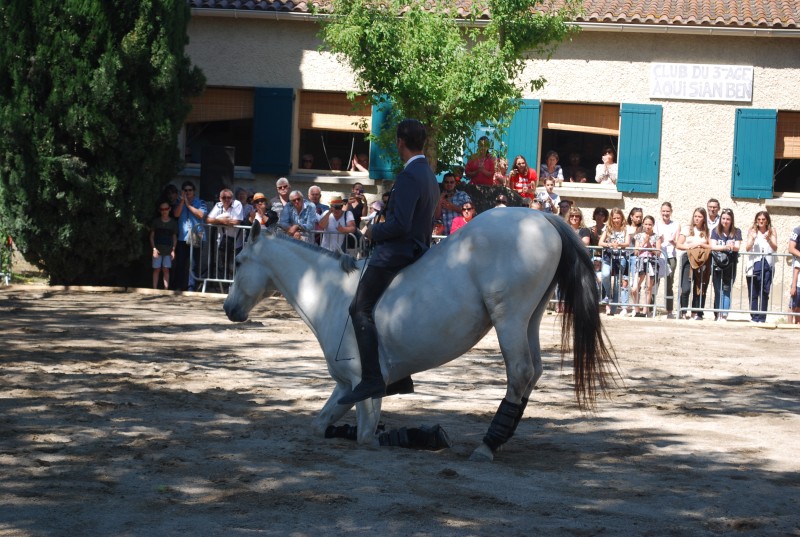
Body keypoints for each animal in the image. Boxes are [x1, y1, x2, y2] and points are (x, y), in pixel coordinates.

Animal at [225, 207, 620, 458]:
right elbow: (320, 425)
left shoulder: (365, 384)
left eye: (239, 261)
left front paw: (419, 436)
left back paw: (487, 445)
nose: (229, 309)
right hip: (530, 317)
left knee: (520, 372)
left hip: (508, 318)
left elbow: (367, 438)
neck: (328, 291)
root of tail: (542, 216)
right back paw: (500, 438)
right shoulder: (345, 386)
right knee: (533, 371)